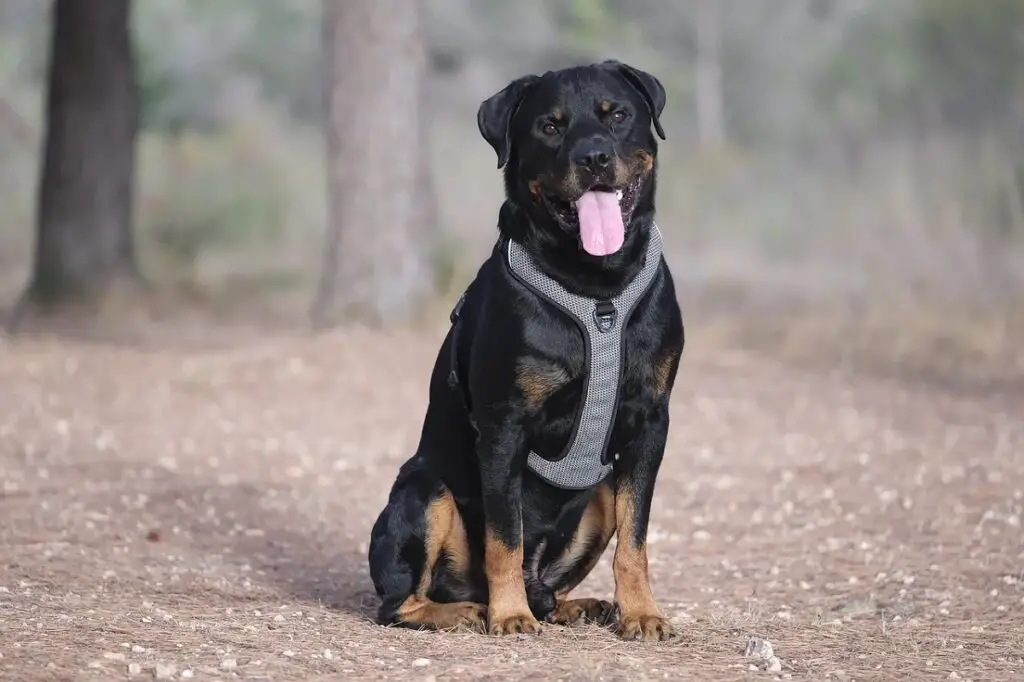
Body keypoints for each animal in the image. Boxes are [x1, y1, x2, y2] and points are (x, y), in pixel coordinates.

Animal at [364, 58, 684, 638]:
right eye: (550, 126)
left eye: (618, 115)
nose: (594, 156)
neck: (596, 287)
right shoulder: (503, 425)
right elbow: (504, 537)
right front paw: (509, 615)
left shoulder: (651, 420)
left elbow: (636, 539)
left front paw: (642, 613)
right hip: (424, 489)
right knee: (400, 603)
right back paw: (469, 610)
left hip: (599, 493)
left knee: (552, 588)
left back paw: (578, 606)